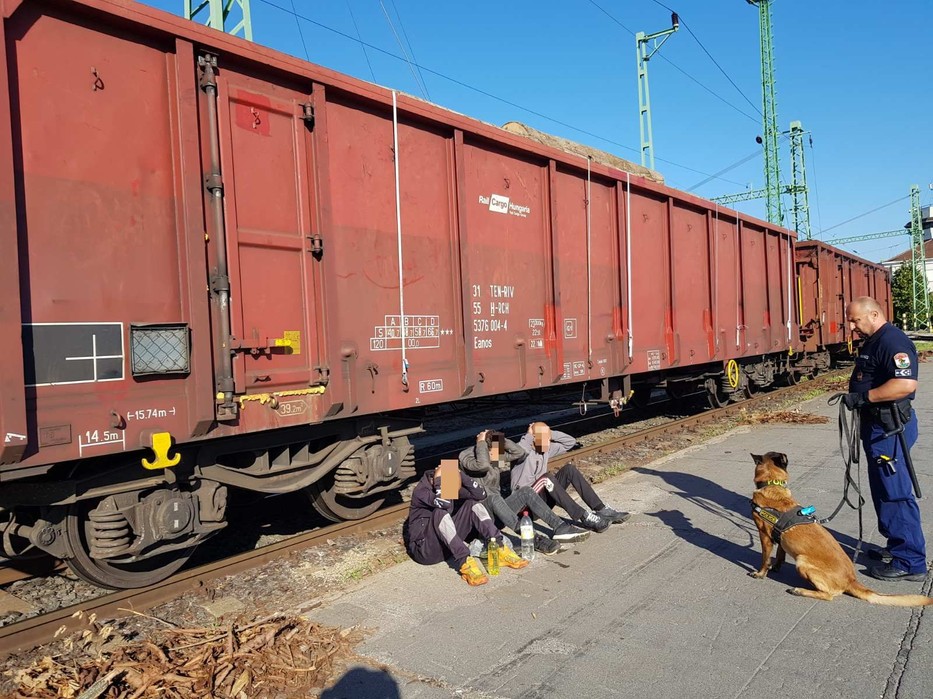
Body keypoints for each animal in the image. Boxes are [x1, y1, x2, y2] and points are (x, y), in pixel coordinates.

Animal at [748, 454, 932, 608]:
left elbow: (765, 559)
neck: (773, 485)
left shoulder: (764, 536)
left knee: (829, 595)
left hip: (802, 562)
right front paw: (776, 567)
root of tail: (851, 580)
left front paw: (760, 573)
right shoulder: (780, 539)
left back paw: (801, 590)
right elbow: (780, 555)